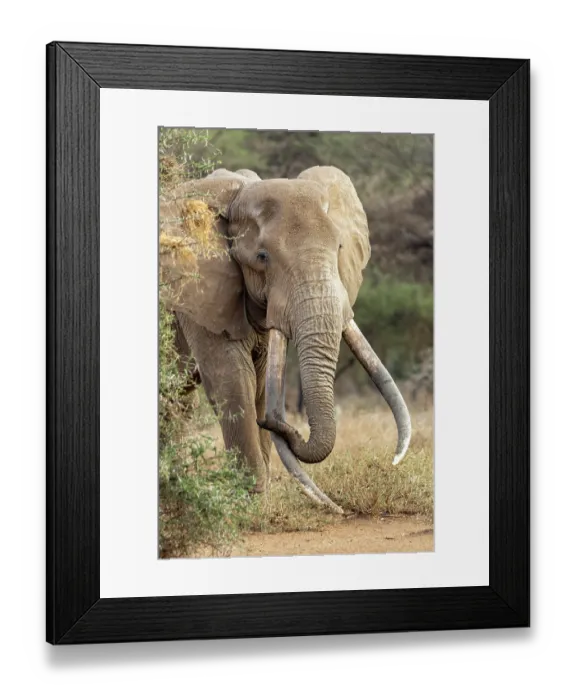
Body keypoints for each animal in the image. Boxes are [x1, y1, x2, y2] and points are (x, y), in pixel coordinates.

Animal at [160, 166, 411, 513]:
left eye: (339, 249)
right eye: (262, 256)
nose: (338, 509)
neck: (239, 192)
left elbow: (262, 381)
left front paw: (259, 501)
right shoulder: (200, 288)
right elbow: (233, 380)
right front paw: (249, 507)